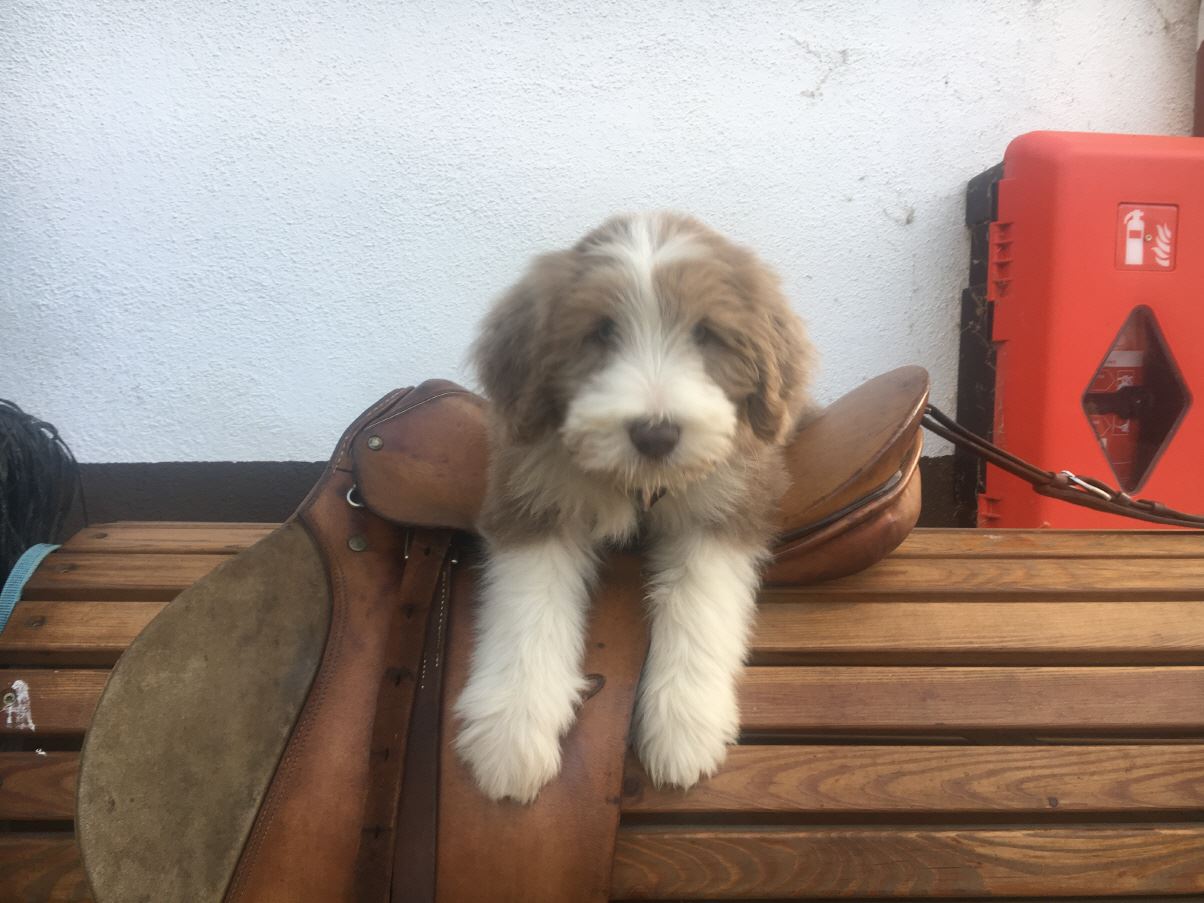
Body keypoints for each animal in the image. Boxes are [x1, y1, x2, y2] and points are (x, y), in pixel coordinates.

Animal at [454, 212, 814, 803]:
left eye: (705, 333)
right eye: (601, 331)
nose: (655, 434)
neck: (639, 485)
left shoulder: (728, 503)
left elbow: (698, 604)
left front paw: (685, 728)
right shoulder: (532, 498)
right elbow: (526, 610)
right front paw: (511, 733)